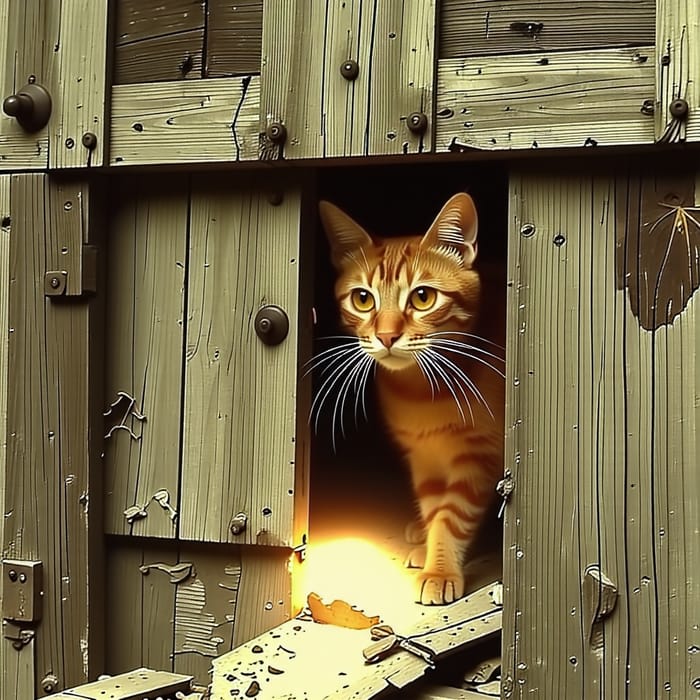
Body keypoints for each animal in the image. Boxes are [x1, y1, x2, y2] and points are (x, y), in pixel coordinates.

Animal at [318, 194, 504, 604]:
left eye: (423, 297)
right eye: (362, 299)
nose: (387, 336)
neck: (421, 393)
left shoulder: (479, 456)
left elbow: (453, 516)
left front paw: (440, 569)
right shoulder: (424, 456)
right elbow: (436, 509)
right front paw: (433, 549)